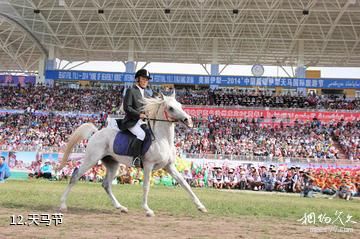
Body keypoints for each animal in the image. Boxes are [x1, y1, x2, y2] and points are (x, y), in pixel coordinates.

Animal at [57, 92, 207, 216]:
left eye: (180, 105)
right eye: (170, 108)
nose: (188, 120)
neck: (162, 139)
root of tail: (96, 132)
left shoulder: (169, 166)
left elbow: (184, 183)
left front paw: (201, 207)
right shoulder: (148, 165)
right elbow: (146, 186)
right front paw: (147, 209)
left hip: (112, 164)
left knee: (106, 185)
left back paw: (121, 207)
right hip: (91, 159)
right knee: (75, 176)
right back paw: (63, 205)